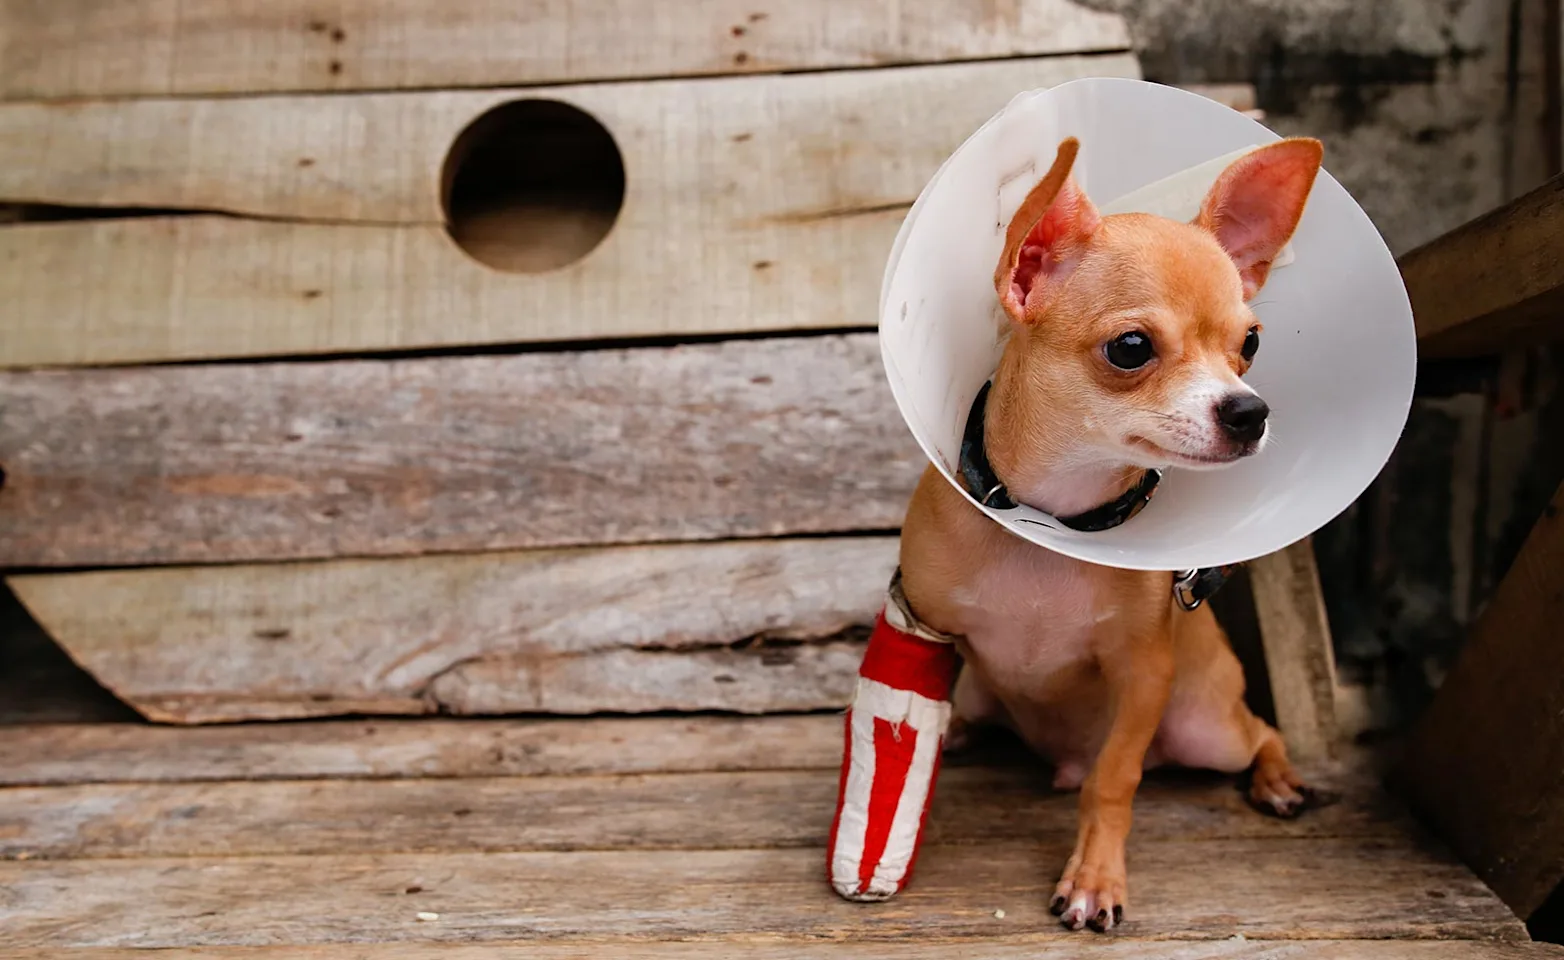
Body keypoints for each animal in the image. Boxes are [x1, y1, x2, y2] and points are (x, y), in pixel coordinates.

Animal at [900, 133, 1326, 931]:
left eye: (1251, 343)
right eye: (1131, 347)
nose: (1250, 410)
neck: (1051, 519)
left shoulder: (1143, 675)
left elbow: (1113, 780)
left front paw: (1095, 880)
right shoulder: (925, 628)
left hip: (1206, 727)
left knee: (1262, 731)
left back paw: (1279, 779)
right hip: (982, 690)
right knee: (971, 712)